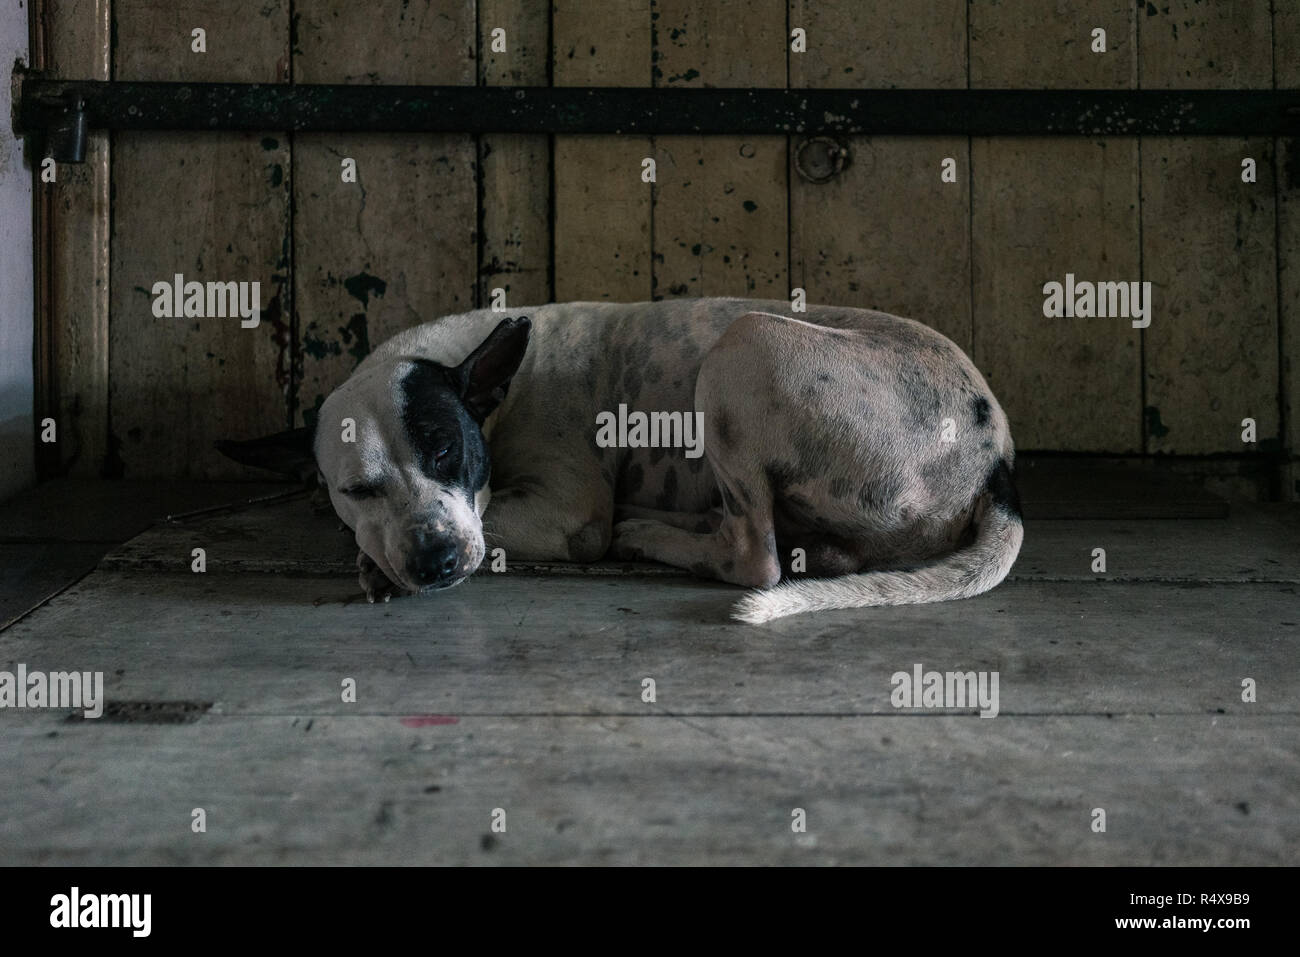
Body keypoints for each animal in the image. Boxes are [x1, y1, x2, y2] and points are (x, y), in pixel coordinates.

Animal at [218, 300, 1019, 629]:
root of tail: (998, 462)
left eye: (446, 450)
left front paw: (373, 563)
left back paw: (652, 533)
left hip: (743, 345)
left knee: (753, 556)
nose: (435, 559)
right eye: (357, 487)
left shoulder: (561, 513)